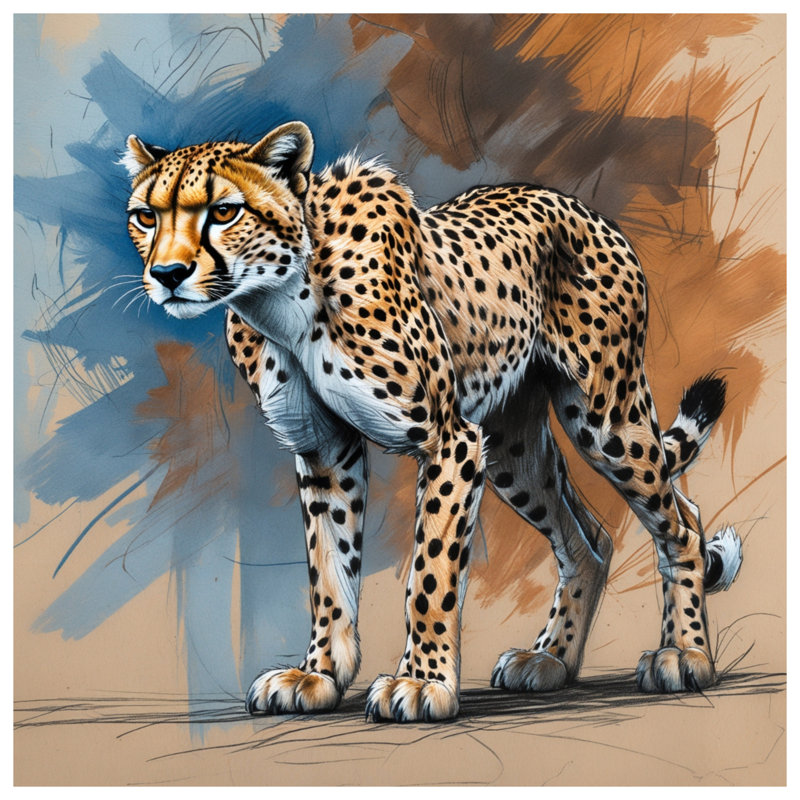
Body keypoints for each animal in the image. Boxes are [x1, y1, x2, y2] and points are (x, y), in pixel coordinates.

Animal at [123, 120, 743, 722]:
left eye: (224, 211)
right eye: (146, 216)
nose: (169, 273)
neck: (280, 297)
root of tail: (577, 205)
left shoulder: (451, 442)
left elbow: (430, 573)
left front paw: (422, 682)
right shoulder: (326, 450)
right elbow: (329, 570)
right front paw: (319, 674)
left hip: (604, 417)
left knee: (682, 522)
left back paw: (684, 654)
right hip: (512, 446)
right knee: (591, 539)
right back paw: (550, 660)